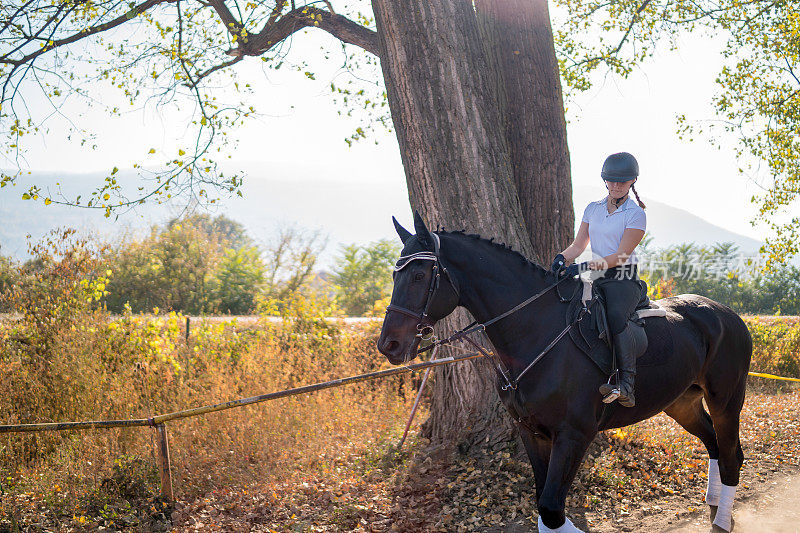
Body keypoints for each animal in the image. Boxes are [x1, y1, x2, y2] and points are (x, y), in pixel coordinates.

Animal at [376, 213, 752, 532]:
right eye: (395, 275)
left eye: (420, 276)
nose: (389, 345)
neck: (535, 332)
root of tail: (728, 314)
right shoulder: (532, 432)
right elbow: (544, 506)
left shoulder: (574, 434)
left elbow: (551, 509)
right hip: (681, 402)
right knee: (714, 444)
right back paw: (714, 506)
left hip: (726, 400)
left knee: (732, 455)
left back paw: (722, 519)